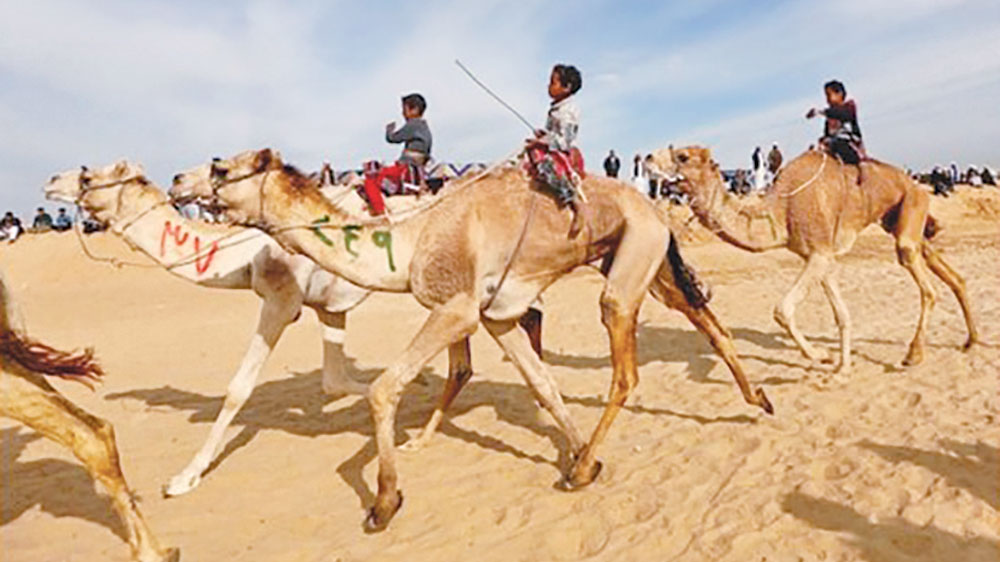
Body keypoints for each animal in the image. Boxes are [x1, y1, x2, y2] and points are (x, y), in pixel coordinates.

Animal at [180, 148, 772, 528]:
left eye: (221, 166)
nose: (179, 181)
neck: (409, 239)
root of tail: (654, 208)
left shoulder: (457, 307)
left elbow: (384, 389)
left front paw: (385, 502)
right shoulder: (497, 317)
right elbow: (542, 384)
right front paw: (580, 450)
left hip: (628, 268)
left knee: (626, 370)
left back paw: (582, 470)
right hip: (648, 258)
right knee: (706, 319)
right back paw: (759, 399)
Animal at [644, 147, 980, 370]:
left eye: (682, 156)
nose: (646, 159)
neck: (782, 209)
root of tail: (915, 183)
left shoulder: (818, 252)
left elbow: (782, 309)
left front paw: (819, 356)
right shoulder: (821, 256)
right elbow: (841, 314)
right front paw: (841, 367)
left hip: (911, 206)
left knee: (922, 277)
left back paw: (913, 354)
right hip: (899, 219)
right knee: (948, 272)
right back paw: (971, 341)